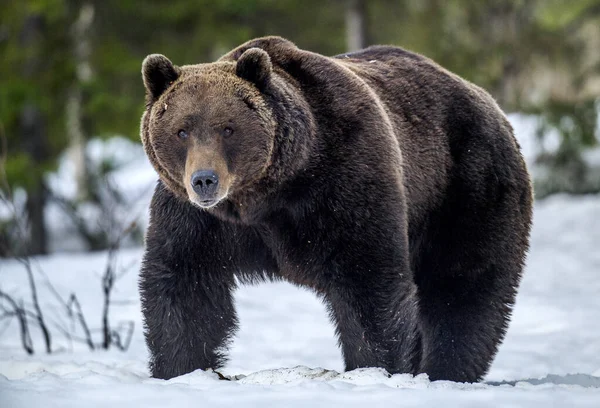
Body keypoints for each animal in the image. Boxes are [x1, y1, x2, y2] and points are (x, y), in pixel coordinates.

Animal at [138, 35, 532, 382]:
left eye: (227, 128)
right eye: (182, 130)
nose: (205, 180)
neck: (266, 195)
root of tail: (485, 99)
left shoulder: (345, 181)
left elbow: (368, 281)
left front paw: (375, 368)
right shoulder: (200, 219)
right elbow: (186, 284)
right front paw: (180, 369)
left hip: (466, 186)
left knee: (464, 284)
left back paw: (446, 370)